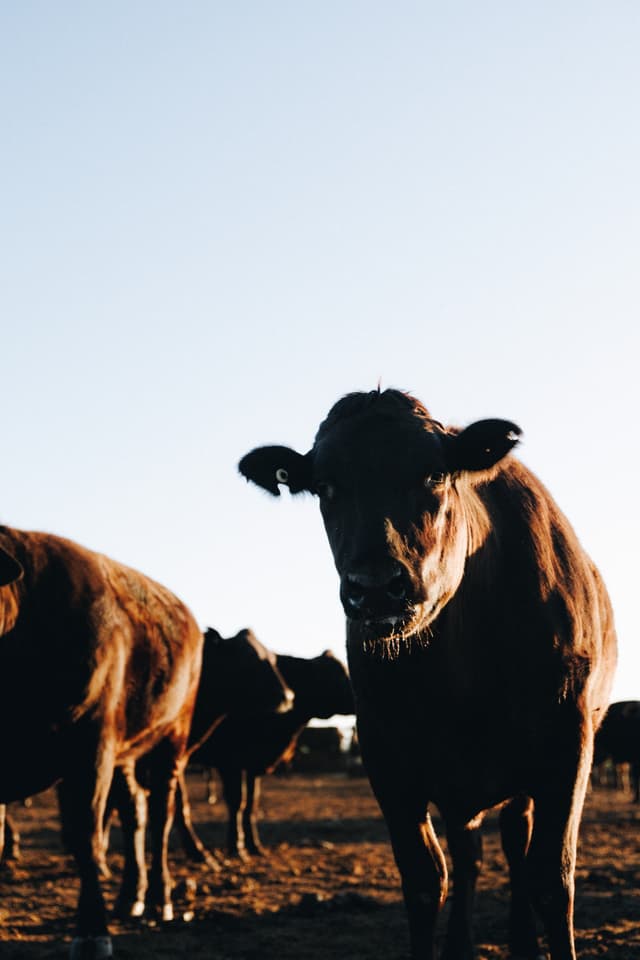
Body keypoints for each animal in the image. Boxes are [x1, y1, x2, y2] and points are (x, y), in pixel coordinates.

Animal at [0, 526, 264, 959]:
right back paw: (130, 896)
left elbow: (86, 837)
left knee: (160, 816)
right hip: (126, 756)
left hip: (170, 742)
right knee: (134, 812)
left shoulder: (91, 747)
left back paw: (159, 897)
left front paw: (92, 931)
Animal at [175, 649, 354, 859]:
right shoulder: (229, 762)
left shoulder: (252, 765)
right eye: (337, 675)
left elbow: (251, 804)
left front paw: (254, 845)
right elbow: (237, 801)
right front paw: (237, 846)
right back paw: (196, 849)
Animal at [238, 388, 617, 960]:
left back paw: (522, 941)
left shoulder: (568, 744)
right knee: (469, 854)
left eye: (434, 473)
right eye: (325, 486)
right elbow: (423, 880)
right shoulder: (385, 755)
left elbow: (552, 879)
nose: (376, 587)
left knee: (515, 845)